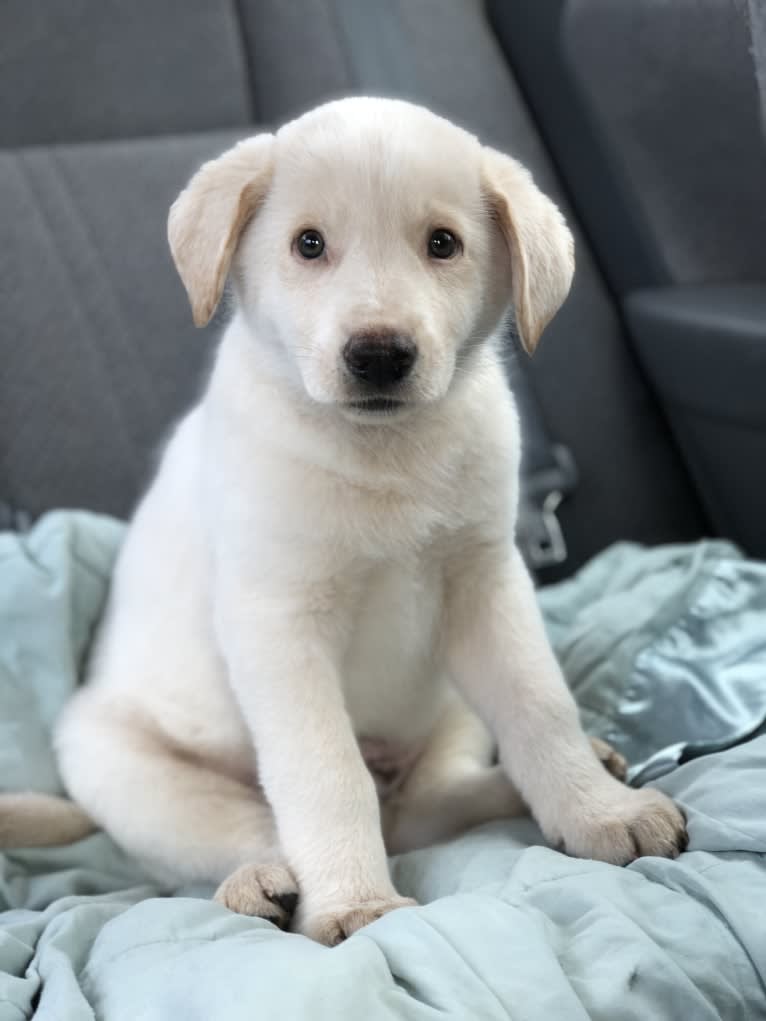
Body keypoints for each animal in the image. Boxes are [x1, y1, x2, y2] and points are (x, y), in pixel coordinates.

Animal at [0, 99, 682, 943]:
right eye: (309, 244)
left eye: (443, 243)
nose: (380, 354)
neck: (383, 454)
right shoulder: (277, 624)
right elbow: (325, 774)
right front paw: (356, 902)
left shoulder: (487, 586)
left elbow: (541, 707)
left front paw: (599, 811)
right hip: (120, 762)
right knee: (253, 826)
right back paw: (260, 881)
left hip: (449, 702)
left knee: (418, 808)